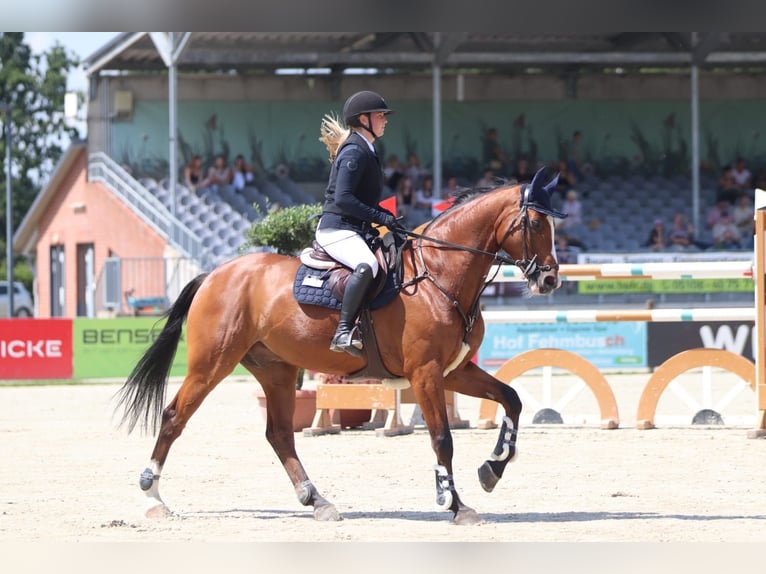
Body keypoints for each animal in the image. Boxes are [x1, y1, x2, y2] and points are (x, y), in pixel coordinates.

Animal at [115, 167, 565, 525]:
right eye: (535, 224)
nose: (549, 280)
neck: (439, 274)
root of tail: (214, 274)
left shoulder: (455, 371)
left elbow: (511, 399)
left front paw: (493, 468)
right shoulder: (426, 373)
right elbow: (442, 438)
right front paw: (454, 505)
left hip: (276, 370)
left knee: (280, 434)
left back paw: (317, 501)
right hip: (212, 364)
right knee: (175, 417)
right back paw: (153, 497)